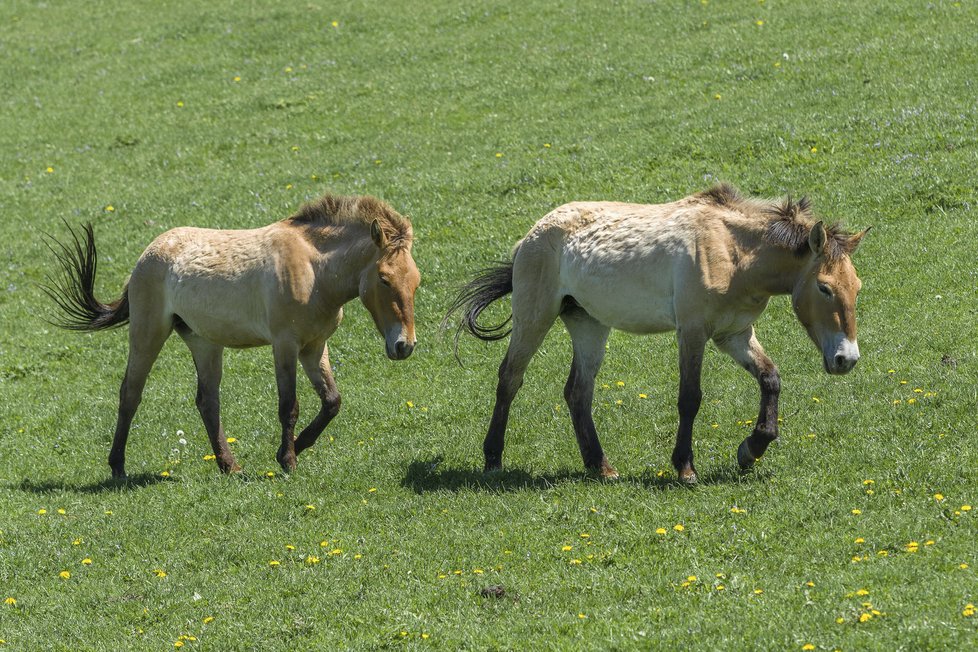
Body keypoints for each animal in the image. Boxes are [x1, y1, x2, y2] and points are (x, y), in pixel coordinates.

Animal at [45, 194, 420, 478]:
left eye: (415, 279)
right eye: (384, 279)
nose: (404, 346)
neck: (315, 269)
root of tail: (148, 254)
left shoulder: (314, 347)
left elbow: (331, 402)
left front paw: (296, 447)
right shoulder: (285, 345)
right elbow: (289, 406)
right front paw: (287, 459)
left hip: (204, 342)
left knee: (207, 400)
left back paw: (229, 466)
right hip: (148, 332)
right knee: (130, 394)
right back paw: (118, 467)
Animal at [446, 183, 864, 484]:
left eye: (856, 287)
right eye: (825, 288)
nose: (847, 359)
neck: (733, 251)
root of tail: (531, 236)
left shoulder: (734, 333)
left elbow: (770, 379)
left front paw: (752, 448)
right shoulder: (692, 332)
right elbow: (690, 398)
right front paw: (685, 467)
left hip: (589, 325)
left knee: (578, 392)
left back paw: (600, 466)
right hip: (535, 317)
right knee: (510, 379)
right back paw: (493, 459)